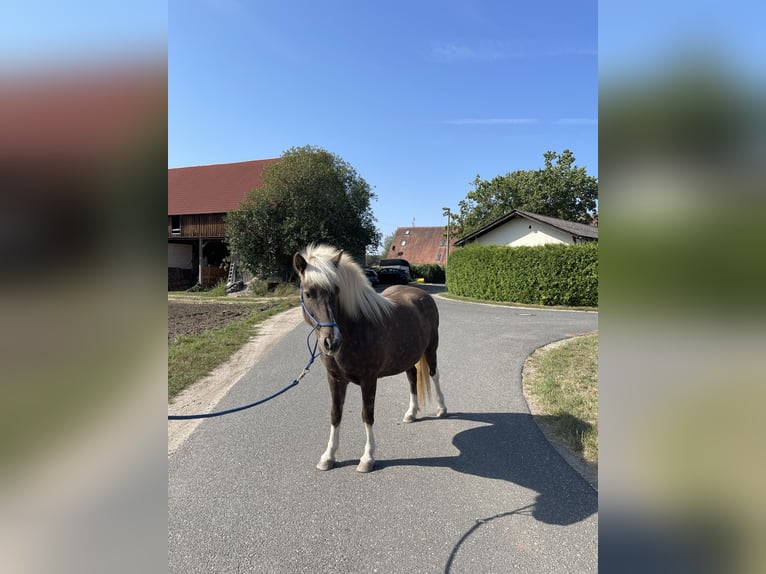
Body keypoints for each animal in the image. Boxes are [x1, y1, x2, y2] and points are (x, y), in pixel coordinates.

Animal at [296, 243, 450, 472]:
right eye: (308, 293)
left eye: (336, 291)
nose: (331, 342)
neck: (355, 327)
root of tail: (423, 294)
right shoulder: (334, 379)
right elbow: (335, 414)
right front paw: (328, 456)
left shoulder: (369, 380)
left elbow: (367, 415)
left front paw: (367, 458)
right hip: (407, 356)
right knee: (412, 377)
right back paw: (411, 413)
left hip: (431, 349)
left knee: (434, 375)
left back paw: (441, 409)